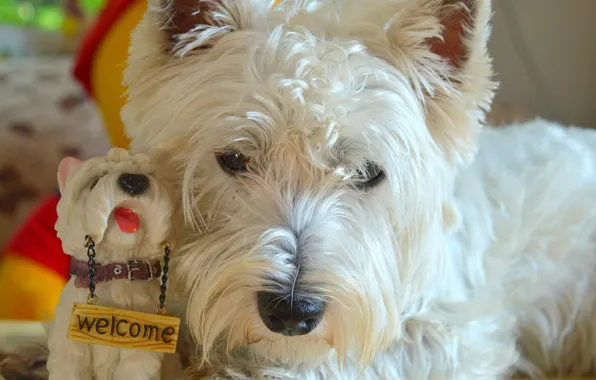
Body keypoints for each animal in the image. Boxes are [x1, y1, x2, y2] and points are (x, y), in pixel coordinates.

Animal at [46, 148, 173, 380]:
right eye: (94, 182)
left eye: (147, 174)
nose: (134, 181)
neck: (116, 270)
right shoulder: (71, 346)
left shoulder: (140, 351)